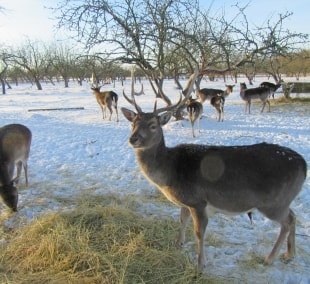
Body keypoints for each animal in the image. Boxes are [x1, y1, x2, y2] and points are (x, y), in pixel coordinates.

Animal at [120, 72, 306, 270]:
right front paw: (178, 243)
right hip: (282, 201)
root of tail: (303, 164)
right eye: (133, 123)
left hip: (273, 202)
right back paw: (289, 254)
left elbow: (199, 232)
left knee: (288, 221)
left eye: (153, 125)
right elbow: (182, 220)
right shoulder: (186, 202)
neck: (170, 173)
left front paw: (200, 264)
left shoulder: (198, 200)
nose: (133, 139)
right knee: (294, 216)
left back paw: (270, 258)